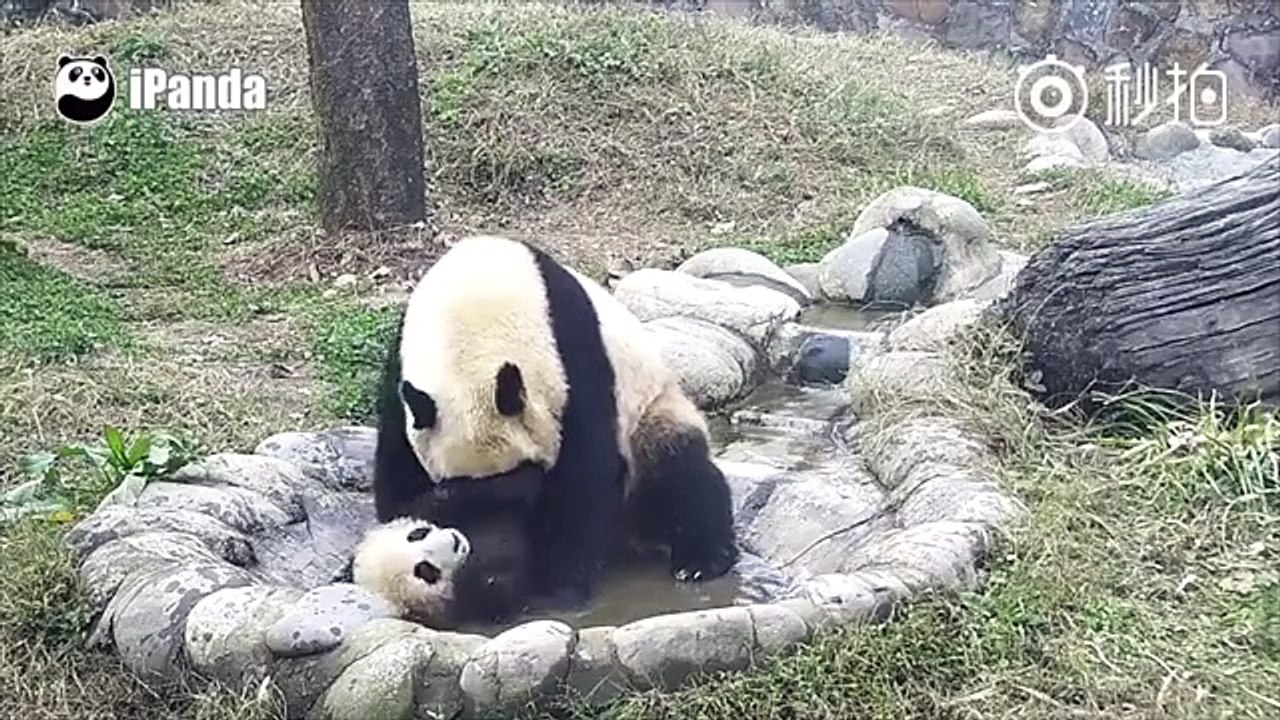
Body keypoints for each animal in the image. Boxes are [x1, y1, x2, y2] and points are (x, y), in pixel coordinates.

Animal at [372, 234, 739, 625]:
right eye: (449, 481)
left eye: (525, 471)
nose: (495, 540)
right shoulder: (403, 380)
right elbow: (398, 482)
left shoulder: (576, 360)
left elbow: (583, 477)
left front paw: (560, 588)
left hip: (653, 414)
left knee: (680, 469)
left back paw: (700, 559)